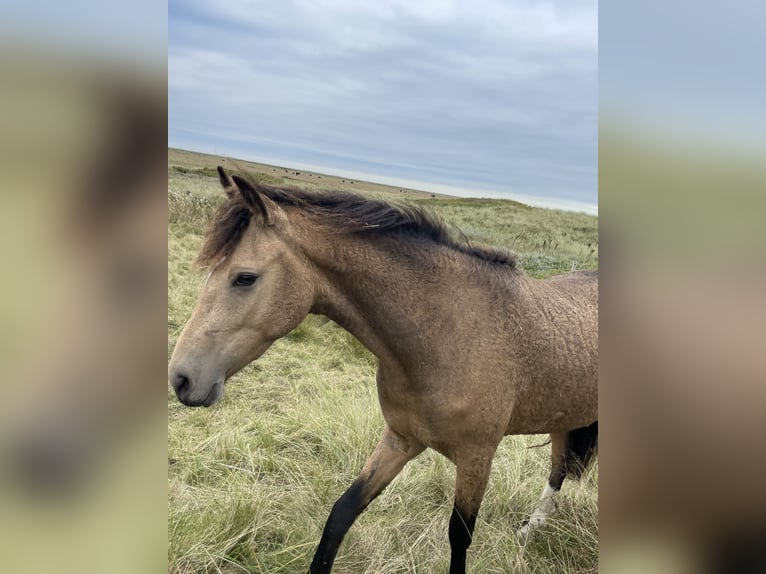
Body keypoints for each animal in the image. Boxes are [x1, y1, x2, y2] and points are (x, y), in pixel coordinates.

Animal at [168, 168, 598, 573]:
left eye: (244, 277)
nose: (180, 378)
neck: (445, 332)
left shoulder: (477, 457)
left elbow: (459, 538)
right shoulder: (401, 440)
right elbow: (342, 512)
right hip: (567, 419)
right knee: (559, 470)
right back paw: (530, 530)